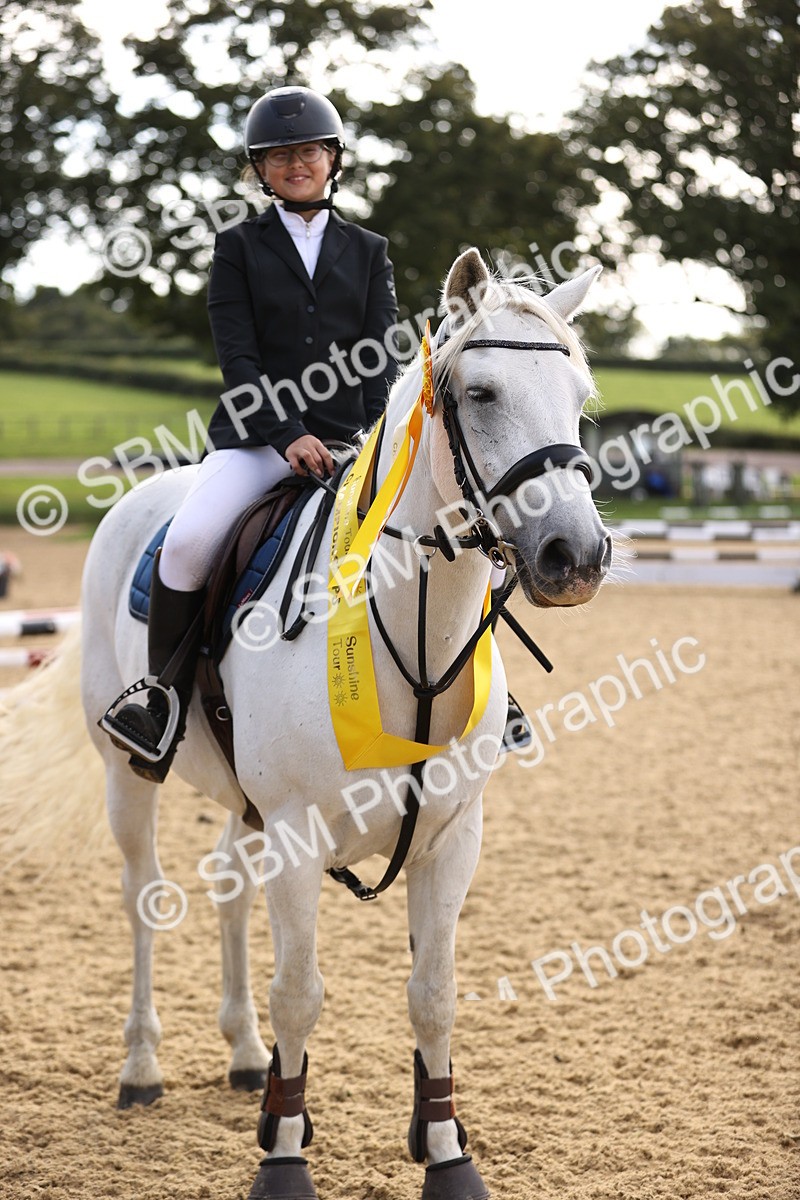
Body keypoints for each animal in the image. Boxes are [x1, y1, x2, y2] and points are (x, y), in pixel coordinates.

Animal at [71, 247, 610, 1199]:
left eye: (579, 397)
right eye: (481, 393)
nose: (574, 557)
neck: (414, 641)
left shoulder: (451, 837)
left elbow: (433, 995)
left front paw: (447, 1154)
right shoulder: (294, 828)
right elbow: (301, 993)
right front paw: (285, 1156)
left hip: (244, 804)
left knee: (227, 885)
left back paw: (246, 1057)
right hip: (127, 775)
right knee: (145, 896)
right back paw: (141, 1069)